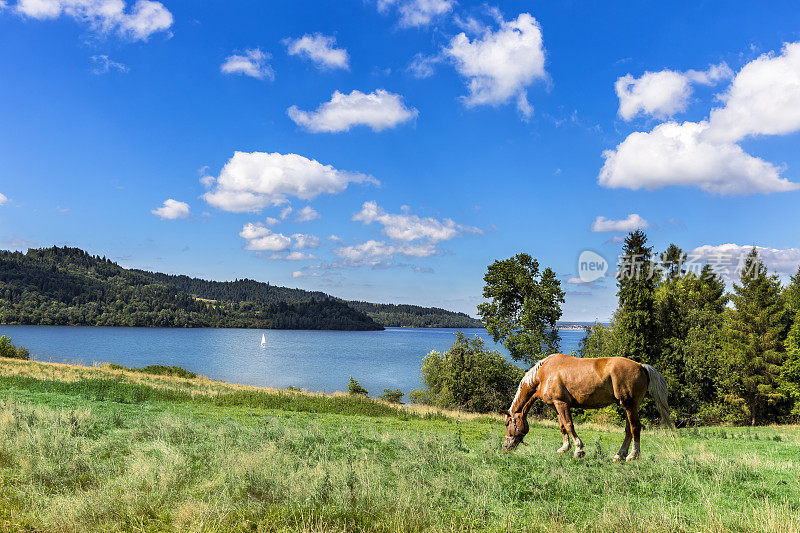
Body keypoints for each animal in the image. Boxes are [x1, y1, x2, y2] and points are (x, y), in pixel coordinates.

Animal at [504, 352, 672, 460]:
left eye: (507, 424)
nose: (506, 446)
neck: (544, 374)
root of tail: (641, 366)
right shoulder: (555, 405)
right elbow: (562, 427)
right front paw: (564, 448)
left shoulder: (561, 403)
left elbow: (569, 425)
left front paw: (578, 450)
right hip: (629, 406)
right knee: (628, 430)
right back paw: (619, 455)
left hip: (629, 405)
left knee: (635, 427)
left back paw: (632, 455)